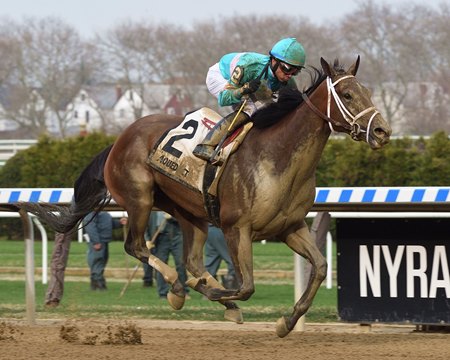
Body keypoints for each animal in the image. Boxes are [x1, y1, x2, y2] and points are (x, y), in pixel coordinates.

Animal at [20, 57, 390, 338]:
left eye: (367, 91)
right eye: (347, 94)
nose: (382, 131)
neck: (277, 157)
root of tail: (120, 139)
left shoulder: (290, 227)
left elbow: (321, 267)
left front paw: (286, 322)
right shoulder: (236, 228)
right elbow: (246, 285)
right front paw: (216, 292)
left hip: (189, 213)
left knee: (193, 262)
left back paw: (210, 297)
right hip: (139, 199)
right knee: (138, 247)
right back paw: (178, 289)